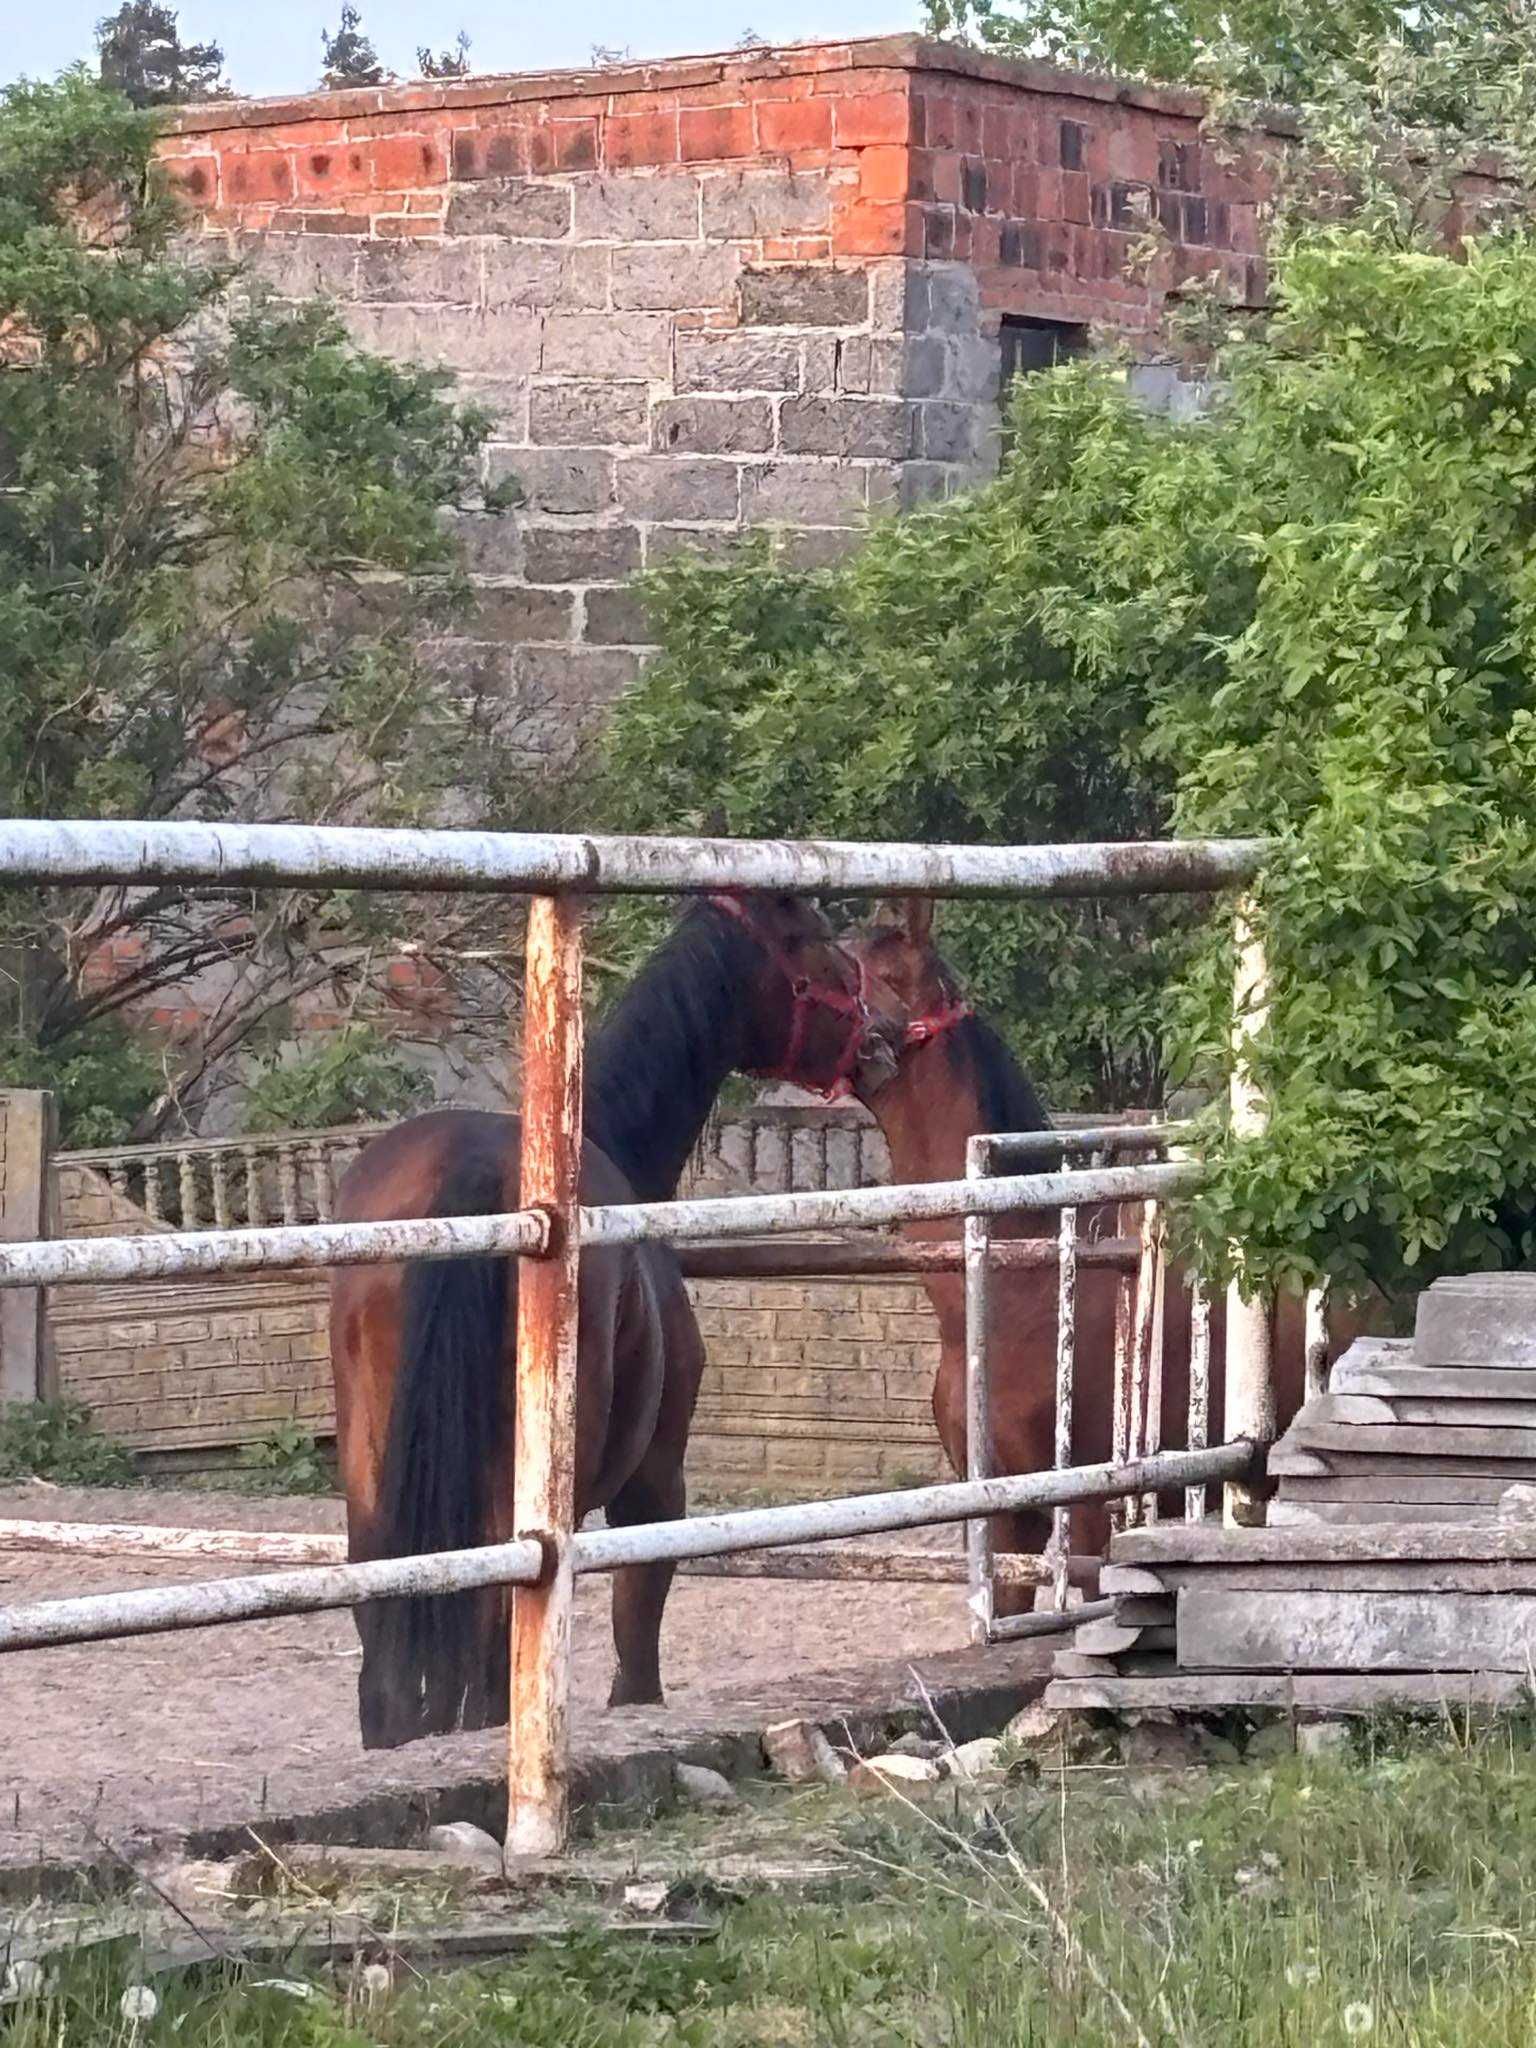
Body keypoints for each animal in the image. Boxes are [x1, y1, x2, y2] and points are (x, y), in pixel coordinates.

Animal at [335, 892, 888, 1744]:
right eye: (821, 945)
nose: (881, 1038)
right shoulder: (653, 1487)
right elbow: (637, 1651)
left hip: (376, 1506)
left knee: (391, 1679)